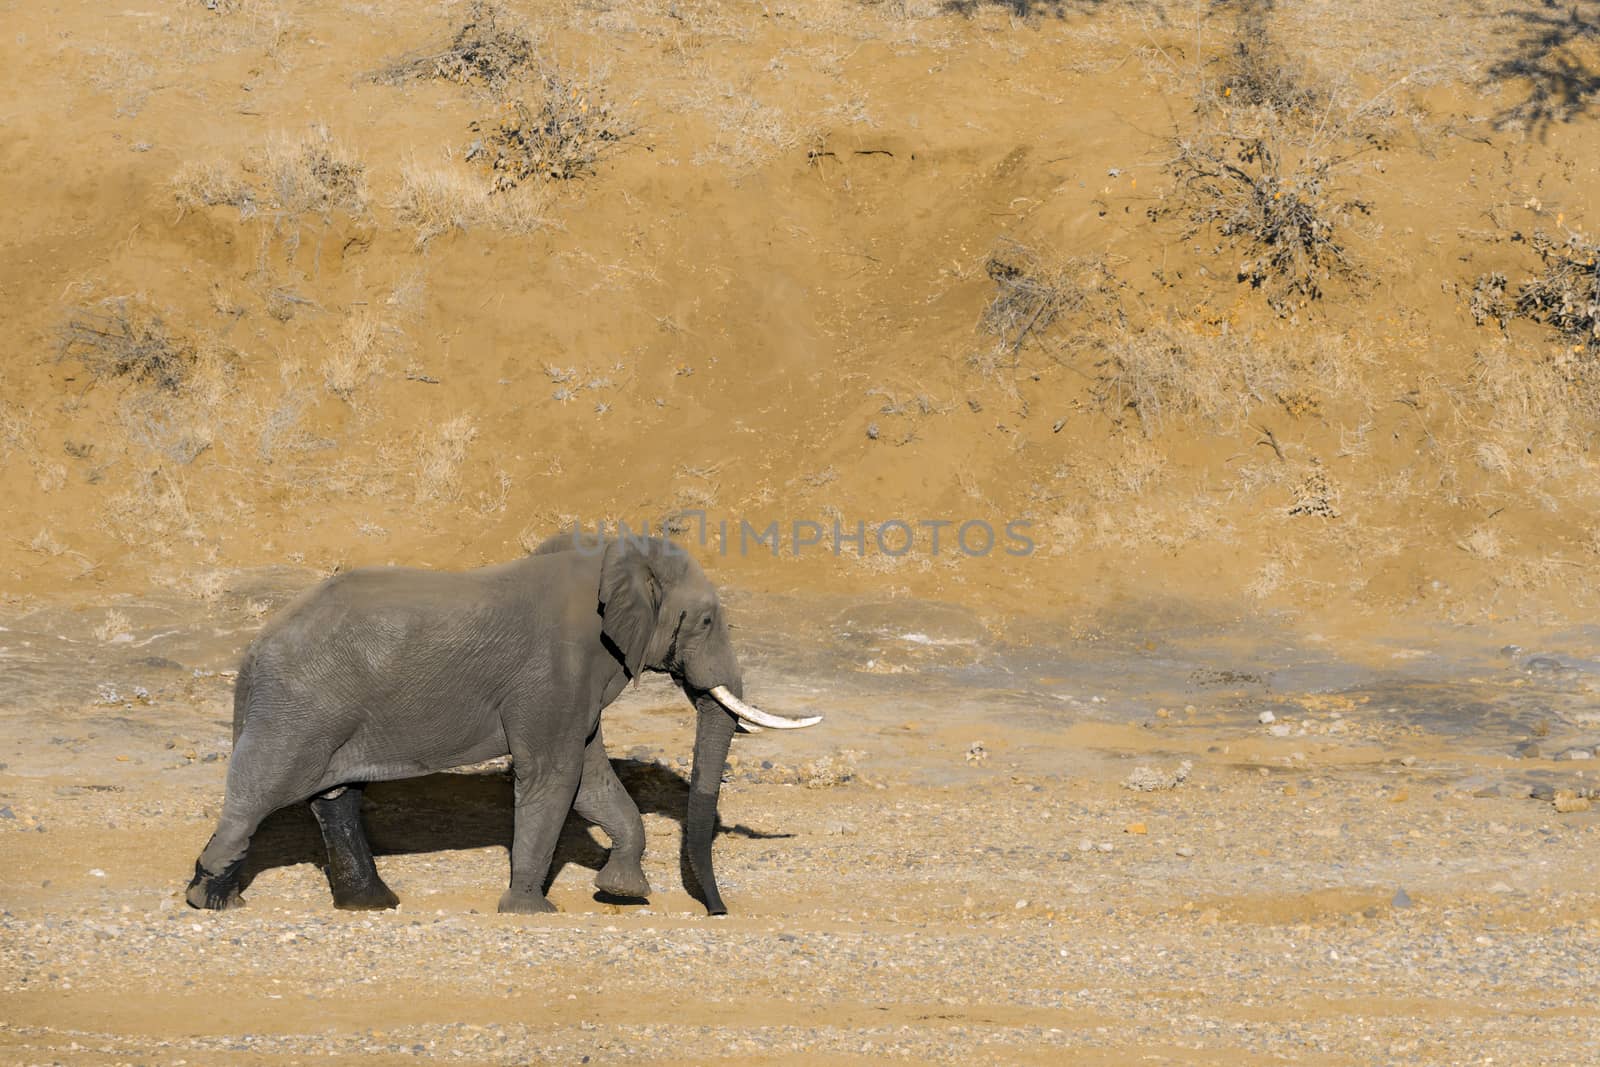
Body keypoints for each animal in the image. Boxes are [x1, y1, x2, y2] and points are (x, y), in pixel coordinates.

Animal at [181, 534, 819, 921]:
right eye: (707, 620)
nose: (719, 914)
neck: (610, 556)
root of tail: (253, 650)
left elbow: (590, 780)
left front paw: (620, 893)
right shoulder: (554, 672)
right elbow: (555, 776)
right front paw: (532, 912)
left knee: (334, 797)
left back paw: (372, 905)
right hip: (301, 707)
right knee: (262, 791)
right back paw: (209, 900)